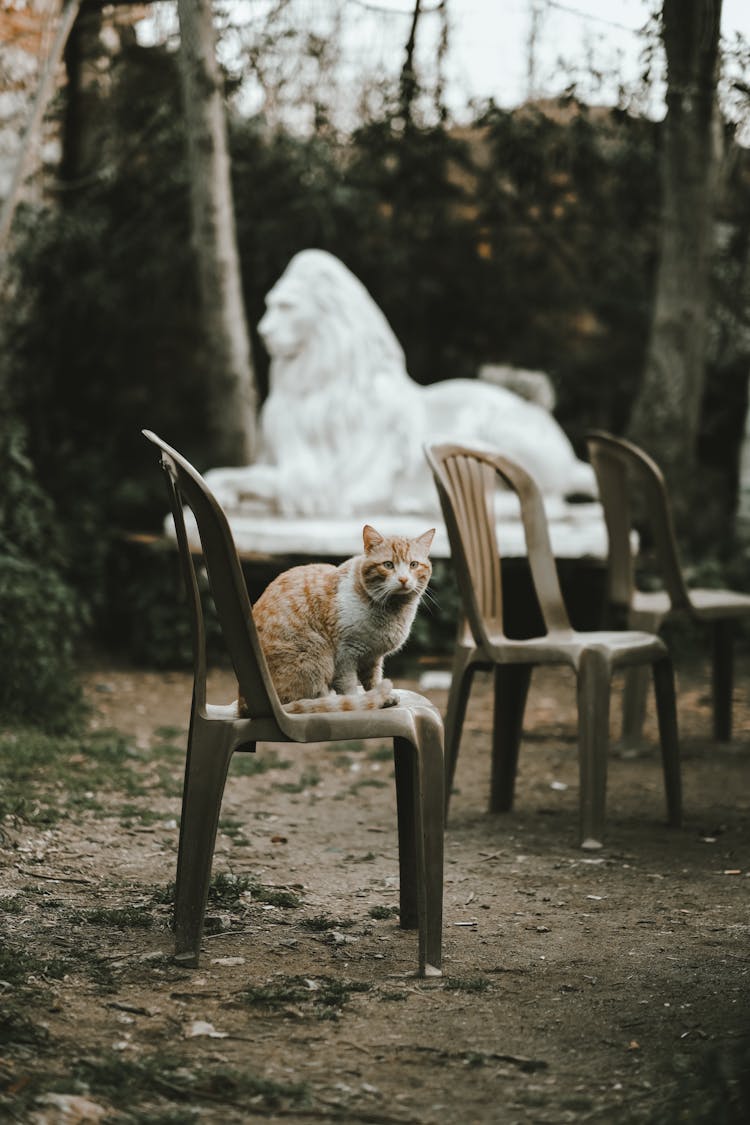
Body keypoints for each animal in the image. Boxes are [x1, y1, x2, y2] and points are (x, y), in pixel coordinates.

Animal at [249, 524, 434, 711]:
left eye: (413, 565)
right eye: (388, 565)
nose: (403, 579)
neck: (392, 610)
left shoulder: (373, 657)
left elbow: (374, 681)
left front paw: (383, 697)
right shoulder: (346, 655)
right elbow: (349, 687)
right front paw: (360, 702)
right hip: (316, 654)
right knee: (313, 698)